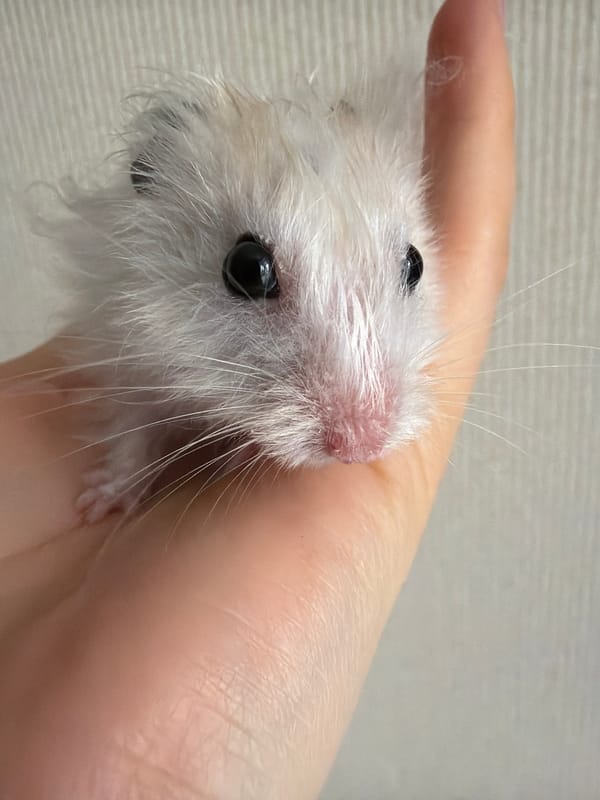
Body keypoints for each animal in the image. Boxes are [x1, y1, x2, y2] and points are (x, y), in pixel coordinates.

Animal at [47, 73, 441, 522]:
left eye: (415, 264)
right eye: (248, 269)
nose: (361, 446)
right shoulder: (125, 357)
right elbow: (131, 432)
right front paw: (97, 506)